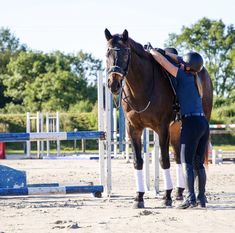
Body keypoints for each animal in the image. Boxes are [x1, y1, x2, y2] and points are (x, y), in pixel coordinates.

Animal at [104, 28, 213, 208]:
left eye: (126, 54)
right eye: (107, 53)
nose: (113, 84)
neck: (142, 86)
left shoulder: (162, 128)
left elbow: (164, 160)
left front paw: (167, 196)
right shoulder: (133, 129)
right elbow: (138, 161)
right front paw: (139, 197)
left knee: (192, 160)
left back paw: (195, 196)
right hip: (177, 130)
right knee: (180, 158)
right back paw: (180, 192)